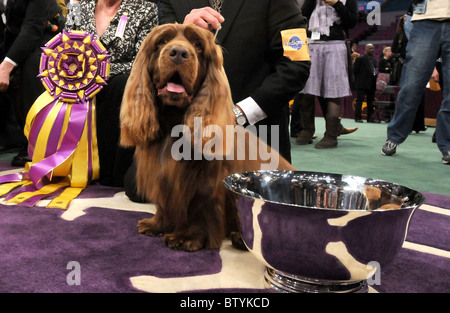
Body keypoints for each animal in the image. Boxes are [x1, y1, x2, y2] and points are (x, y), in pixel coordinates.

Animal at [120, 23, 296, 251]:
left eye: (197, 45)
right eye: (161, 42)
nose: (179, 53)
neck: (173, 123)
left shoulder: (204, 181)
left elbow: (199, 208)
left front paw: (186, 237)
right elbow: (164, 203)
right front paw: (157, 224)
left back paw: (240, 238)